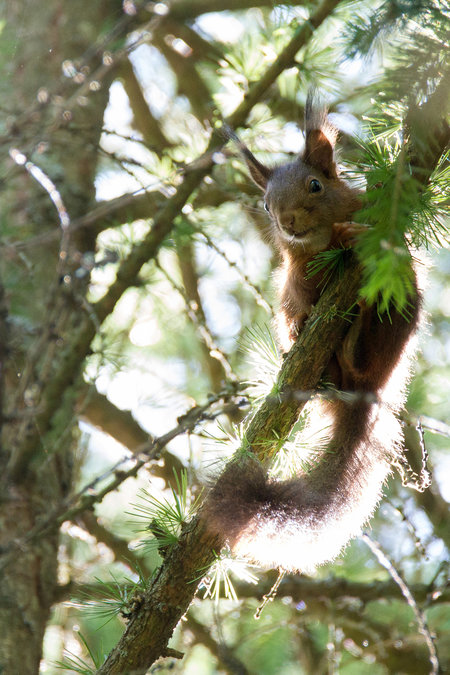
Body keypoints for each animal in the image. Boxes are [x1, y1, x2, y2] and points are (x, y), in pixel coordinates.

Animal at [205, 97, 422, 572]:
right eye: (266, 205)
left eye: (316, 186)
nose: (287, 221)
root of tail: (366, 391)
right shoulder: (295, 275)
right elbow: (306, 282)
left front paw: (348, 231)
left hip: (401, 315)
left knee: (373, 341)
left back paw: (357, 336)